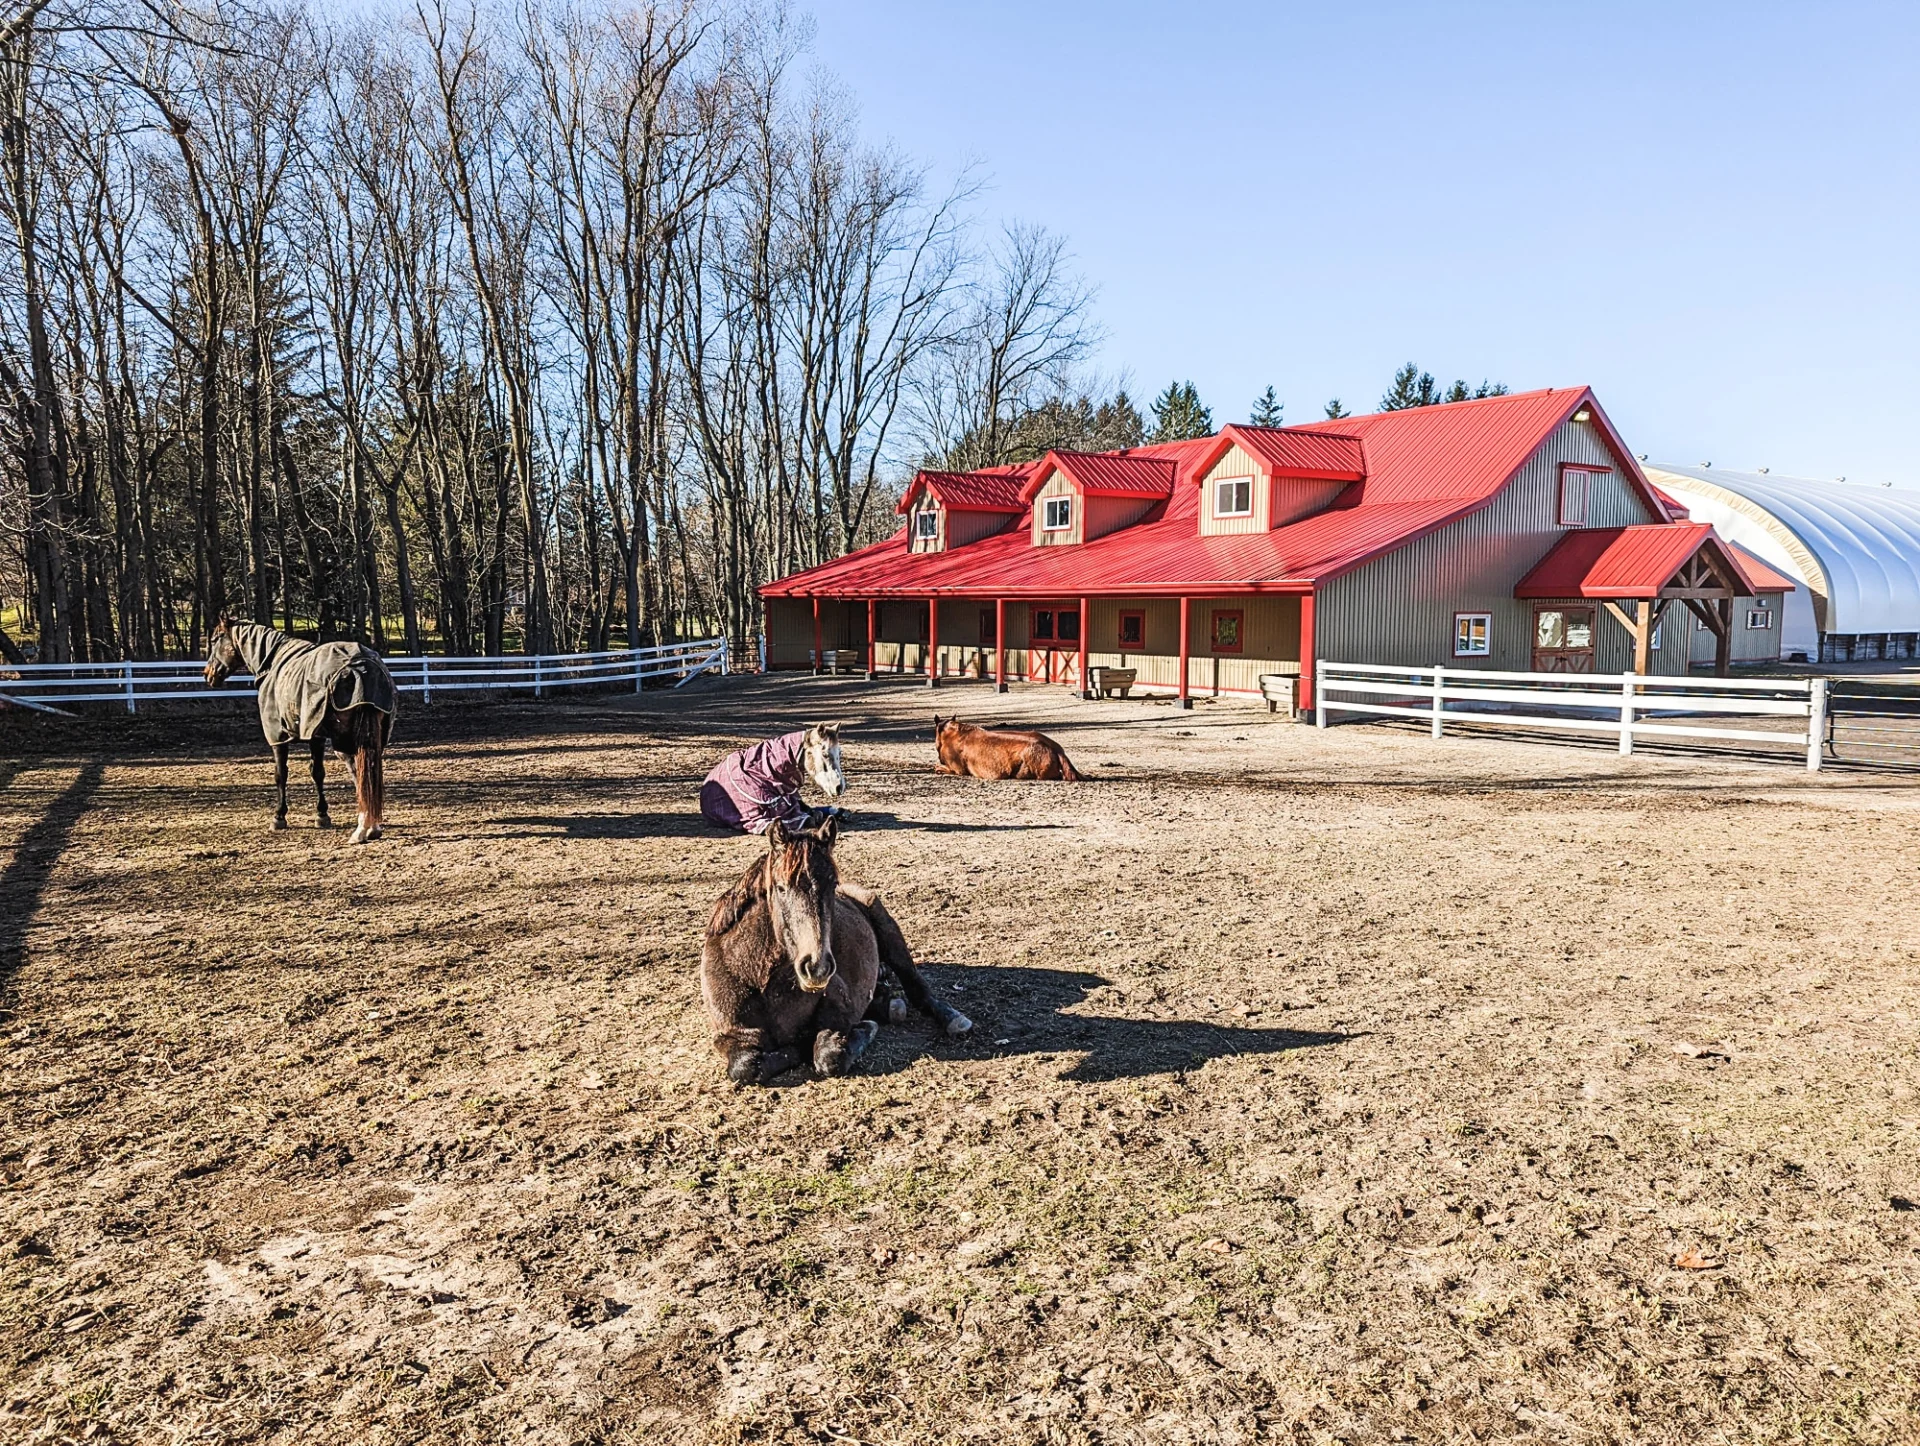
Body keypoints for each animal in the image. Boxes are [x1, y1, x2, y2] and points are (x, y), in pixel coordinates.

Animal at [204, 618, 397, 844]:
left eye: (215, 639)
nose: (208, 674)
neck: (272, 662)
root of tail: (362, 668)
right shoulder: (316, 735)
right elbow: (317, 773)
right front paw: (322, 815)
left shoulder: (278, 736)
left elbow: (281, 774)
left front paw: (279, 817)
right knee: (367, 773)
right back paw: (370, 827)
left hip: (345, 741)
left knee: (359, 773)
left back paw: (363, 829)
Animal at [701, 812, 971, 1084]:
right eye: (780, 887)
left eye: (832, 884)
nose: (816, 967)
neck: (762, 983)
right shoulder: (730, 1035)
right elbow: (745, 1066)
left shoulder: (838, 1009)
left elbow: (828, 1056)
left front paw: (863, 1029)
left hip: (891, 937)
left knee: (919, 991)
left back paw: (951, 1018)